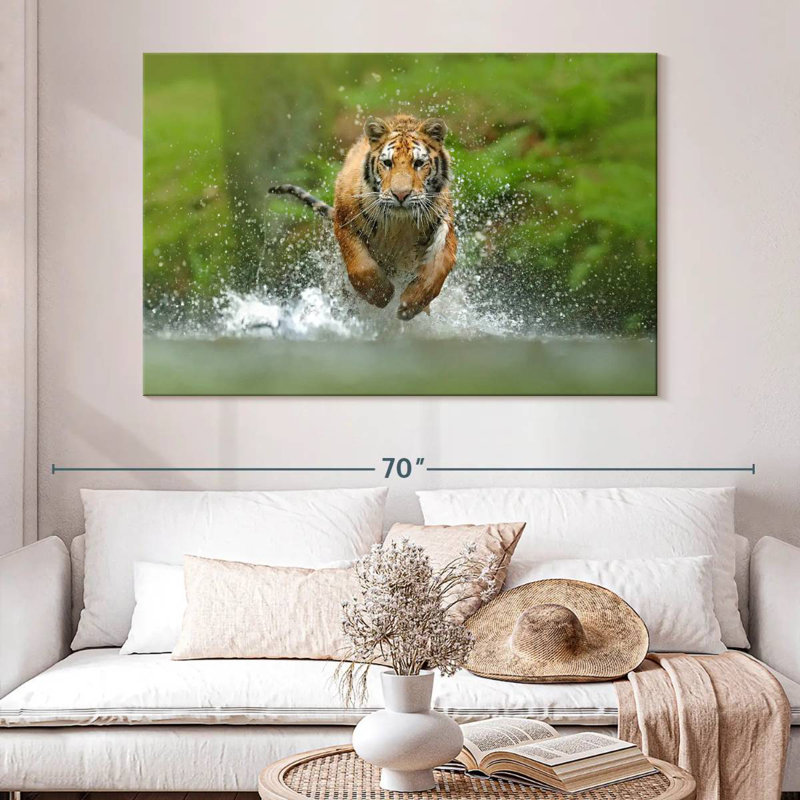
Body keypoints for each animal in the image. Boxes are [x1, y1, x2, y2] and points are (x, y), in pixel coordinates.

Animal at [270, 114, 457, 320]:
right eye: (388, 163)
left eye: (418, 163)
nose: (400, 195)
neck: (400, 223)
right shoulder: (345, 221)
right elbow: (361, 265)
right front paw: (382, 295)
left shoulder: (444, 221)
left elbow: (440, 266)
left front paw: (411, 305)